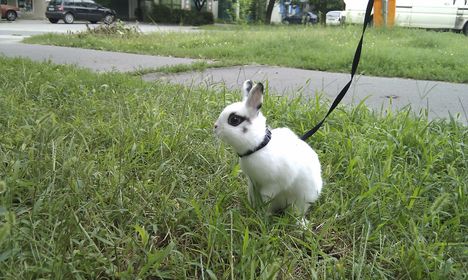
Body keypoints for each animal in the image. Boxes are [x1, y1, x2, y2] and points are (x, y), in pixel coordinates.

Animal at [215, 80, 322, 224]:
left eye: (234, 120)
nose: (215, 127)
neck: (258, 147)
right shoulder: (252, 182)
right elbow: (252, 194)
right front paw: (253, 207)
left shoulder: (274, 184)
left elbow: (266, 197)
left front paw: (262, 212)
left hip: (299, 201)